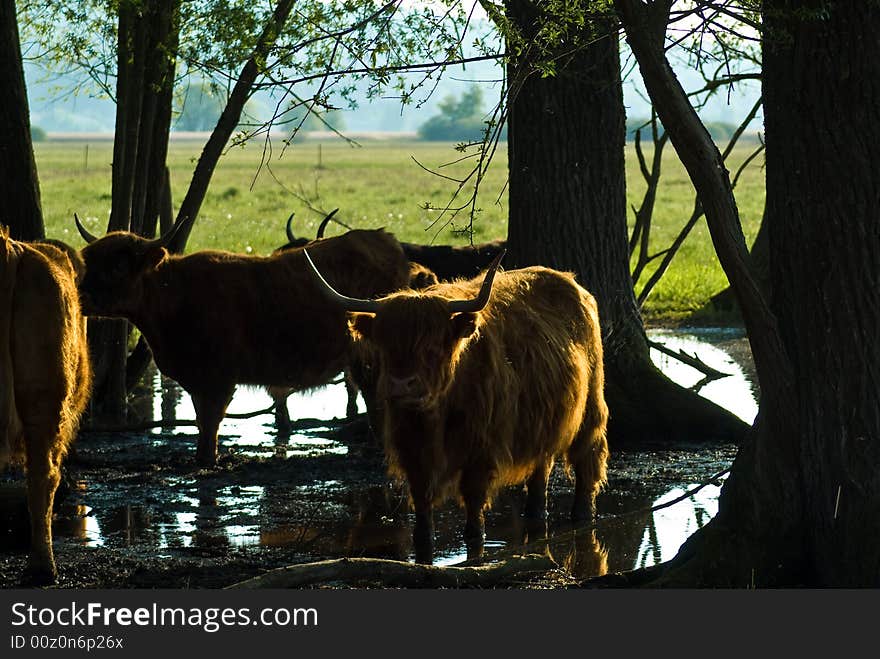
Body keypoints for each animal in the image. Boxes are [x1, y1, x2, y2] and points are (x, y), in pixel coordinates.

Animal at [75, 214, 410, 466]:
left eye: (119, 265)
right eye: (88, 260)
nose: (80, 293)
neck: (174, 296)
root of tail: (382, 238)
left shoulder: (219, 379)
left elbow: (210, 426)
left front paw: (206, 462)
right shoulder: (197, 380)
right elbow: (202, 422)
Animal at [306, 250, 608, 564]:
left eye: (432, 347)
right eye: (386, 347)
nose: (402, 385)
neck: (434, 418)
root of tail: (574, 285)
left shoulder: (481, 451)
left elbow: (474, 510)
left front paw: (475, 543)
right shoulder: (412, 452)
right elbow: (422, 508)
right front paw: (424, 545)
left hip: (591, 406)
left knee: (588, 459)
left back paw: (582, 515)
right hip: (543, 423)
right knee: (541, 472)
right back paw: (536, 515)